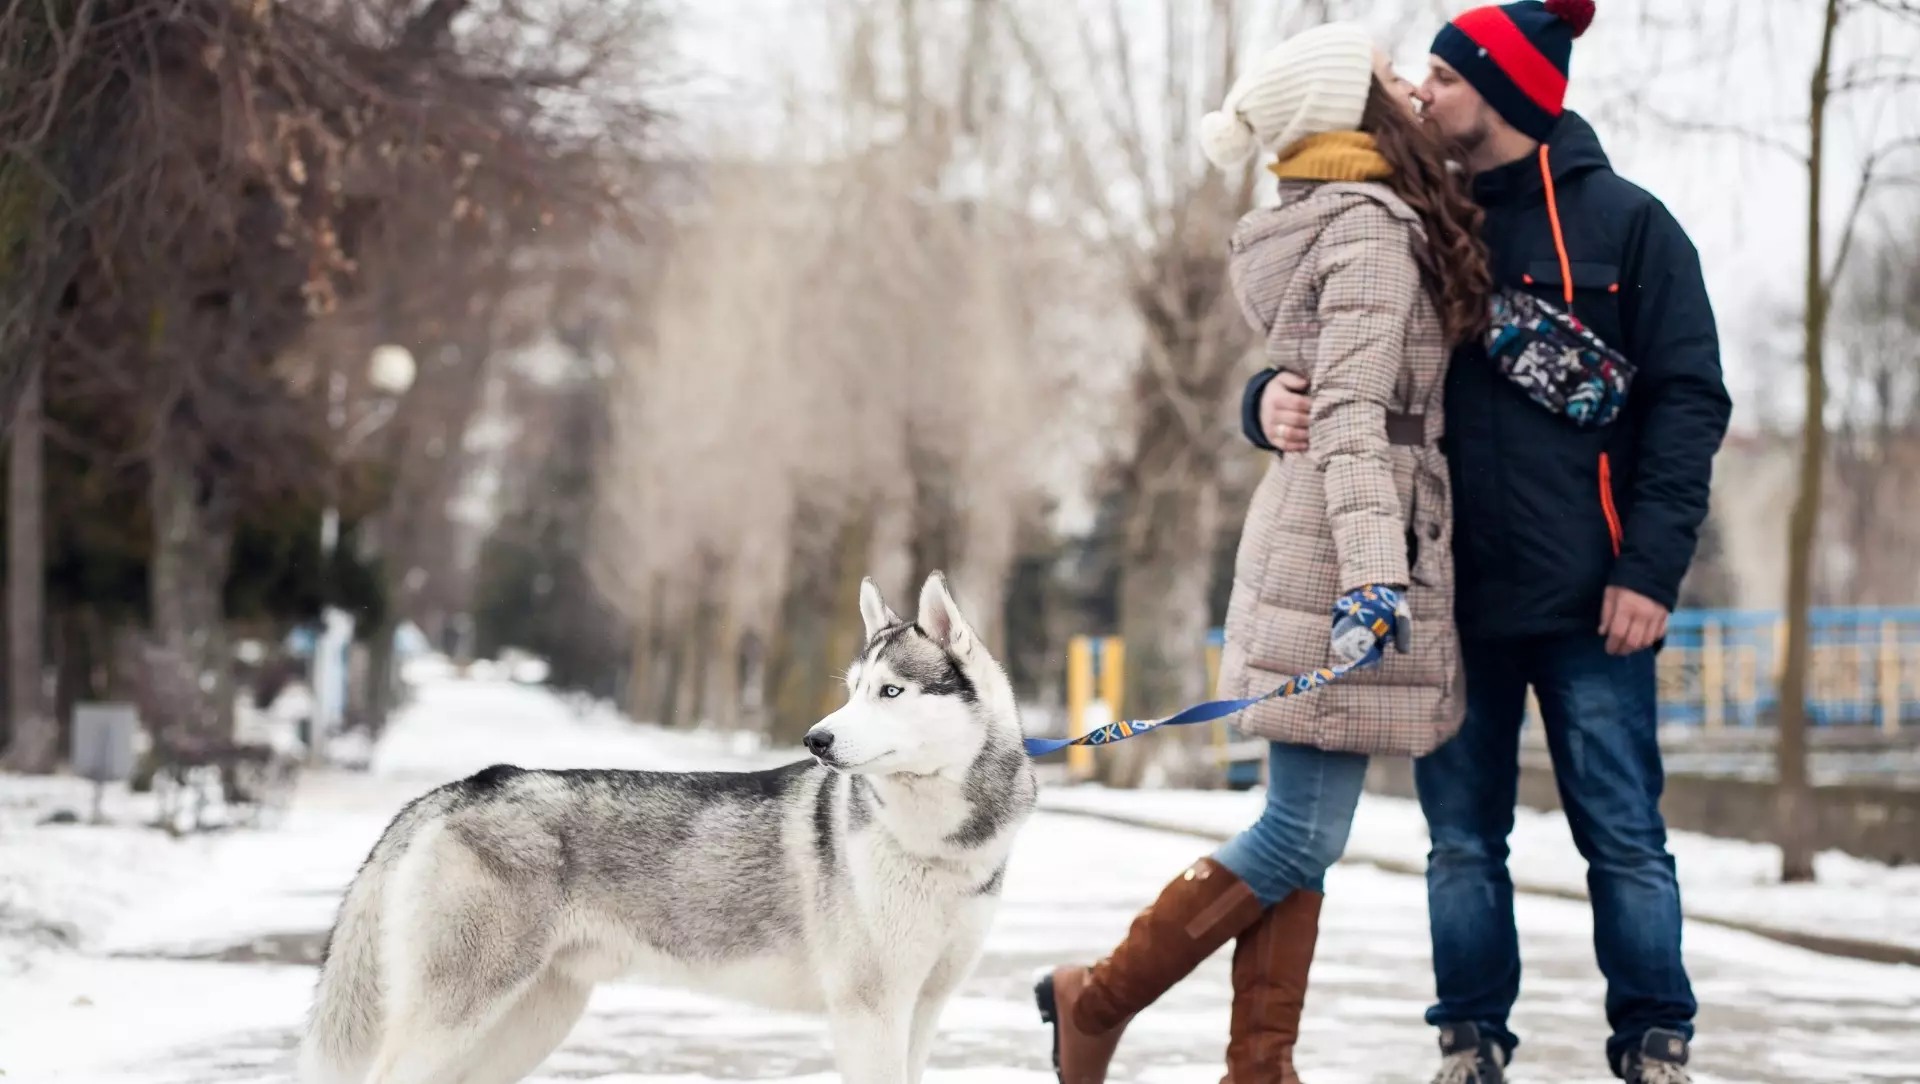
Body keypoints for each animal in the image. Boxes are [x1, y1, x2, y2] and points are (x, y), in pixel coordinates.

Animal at [301, 571, 1044, 1074]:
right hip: (464, 1015)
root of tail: (464, 786)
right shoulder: (871, 1011)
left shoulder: (924, 1008)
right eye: (853, 692)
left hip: (530, 1020)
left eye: (891, 692)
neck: (940, 845)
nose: (816, 739)